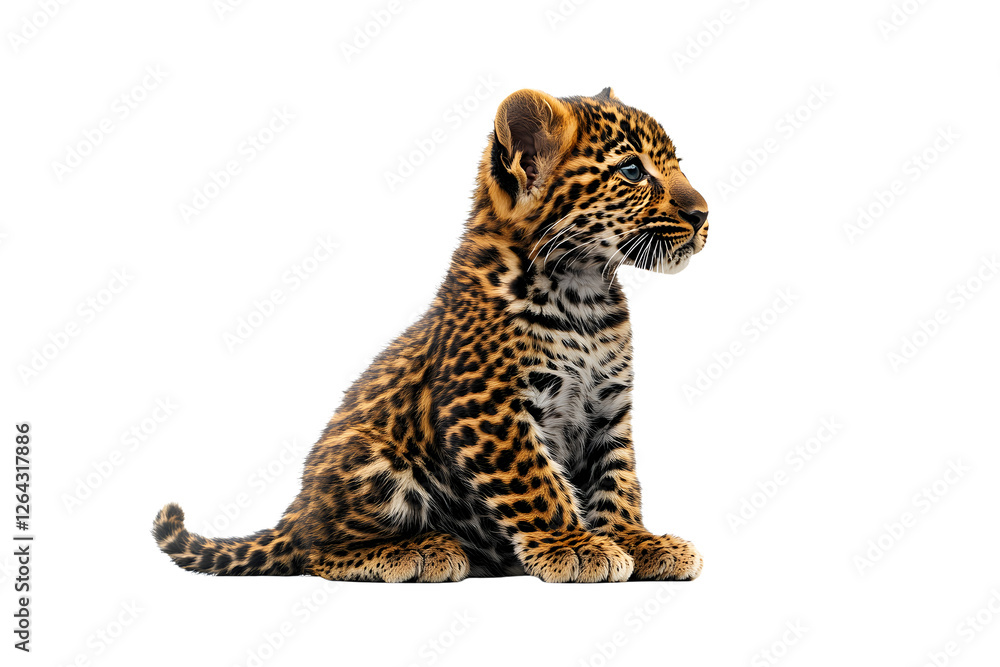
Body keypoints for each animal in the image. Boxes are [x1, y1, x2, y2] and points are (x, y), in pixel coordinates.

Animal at [153, 86, 709, 583]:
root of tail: (294, 511)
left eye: (677, 165)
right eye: (632, 170)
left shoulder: (607, 407)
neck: (584, 294)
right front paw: (573, 547)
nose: (703, 213)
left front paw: (638, 542)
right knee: (316, 551)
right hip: (375, 462)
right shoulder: (488, 405)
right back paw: (419, 551)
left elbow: (617, 479)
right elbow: (537, 481)